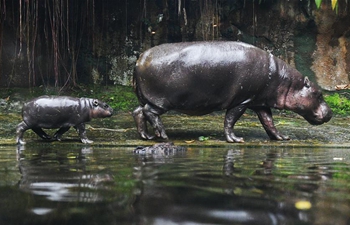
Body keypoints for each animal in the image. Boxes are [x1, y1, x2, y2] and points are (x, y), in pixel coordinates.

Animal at [133, 40, 332, 142]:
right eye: (319, 94)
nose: (330, 113)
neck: (286, 81)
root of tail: (139, 59)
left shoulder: (259, 102)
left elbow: (269, 121)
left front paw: (282, 137)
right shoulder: (242, 100)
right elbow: (230, 119)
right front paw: (236, 140)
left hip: (149, 99)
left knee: (137, 111)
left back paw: (147, 136)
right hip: (162, 100)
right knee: (149, 112)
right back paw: (163, 135)